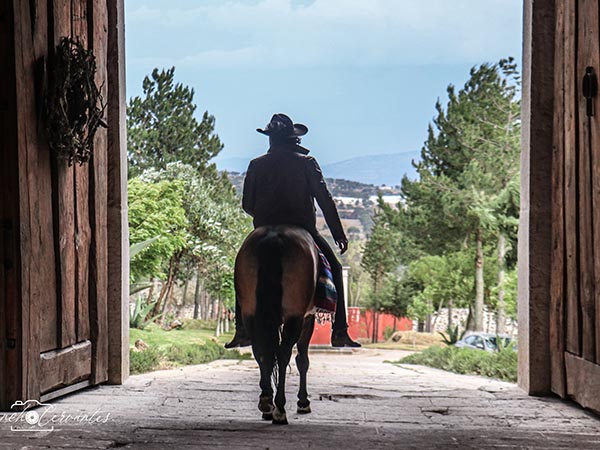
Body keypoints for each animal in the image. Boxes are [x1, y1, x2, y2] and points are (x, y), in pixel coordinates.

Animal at [234, 225, 318, 426]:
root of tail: (273, 237)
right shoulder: (307, 318)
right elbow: (302, 360)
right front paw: (303, 402)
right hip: (295, 314)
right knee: (283, 353)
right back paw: (280, 408)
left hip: (250, 311)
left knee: (260, 351)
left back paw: (266, 402)